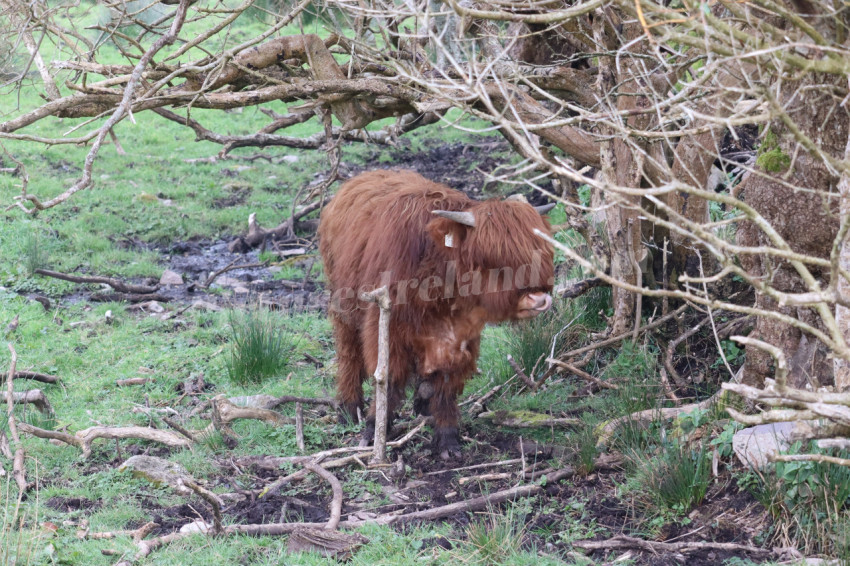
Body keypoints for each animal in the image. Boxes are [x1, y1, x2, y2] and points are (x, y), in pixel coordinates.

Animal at [316, 170, 548, 462]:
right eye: (492, 257)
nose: (538, 299)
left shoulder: (461, 337)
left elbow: (447, 384)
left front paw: (448, 439)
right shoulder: (385, 323)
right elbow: (387, 378)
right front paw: (374, 429)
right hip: (344, 304)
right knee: (348, 353)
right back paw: (348, 408)